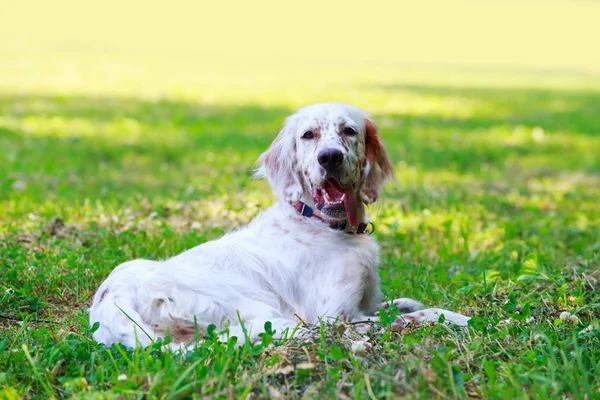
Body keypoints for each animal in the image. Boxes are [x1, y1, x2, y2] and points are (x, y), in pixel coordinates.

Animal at [90, 104, 468, 350]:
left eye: (349, 131)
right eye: (308, 135)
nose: (330, 157)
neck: (322, 224)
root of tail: (112, 302)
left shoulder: (360, 306)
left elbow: (398, 305)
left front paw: (405, 303)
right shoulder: (333, 315)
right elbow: (426, 315)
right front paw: (461, 318)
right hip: (262, 309)